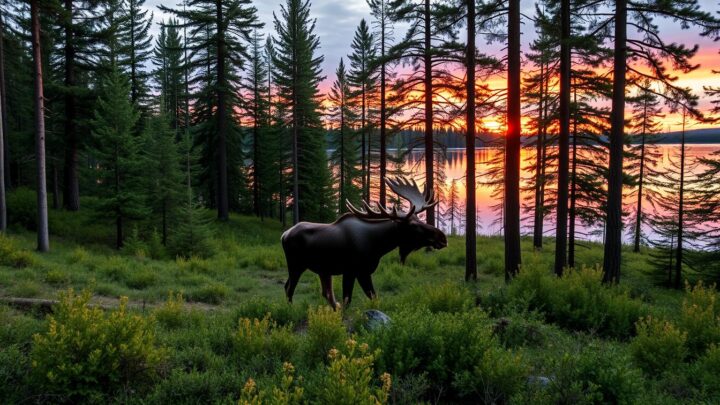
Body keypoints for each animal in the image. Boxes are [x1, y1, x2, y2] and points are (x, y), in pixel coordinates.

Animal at [280, 176, 444, 306]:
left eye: (420, 219)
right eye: (414, 225)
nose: (442, 237)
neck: (378, 245)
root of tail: (284, 235)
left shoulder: (362, 272)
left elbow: (370, 297)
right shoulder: (354, 271)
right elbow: (350, 300)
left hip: (323, 271)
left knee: (325, 293)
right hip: (296, 265)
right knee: (289, 288)